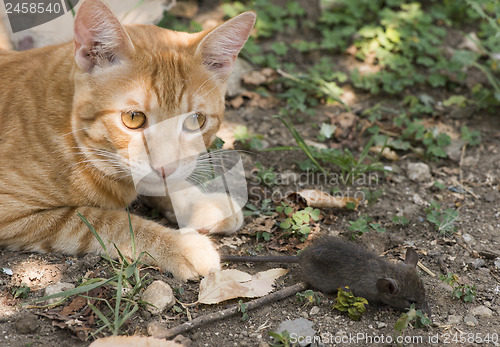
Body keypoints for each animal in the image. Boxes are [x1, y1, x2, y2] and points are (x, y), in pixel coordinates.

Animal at [0, 0, 256, 280]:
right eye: (133, 118)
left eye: (195, 120)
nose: (165, 168)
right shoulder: (14, 213)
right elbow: (110, 222)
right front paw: (181, 245)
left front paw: (199, 202)